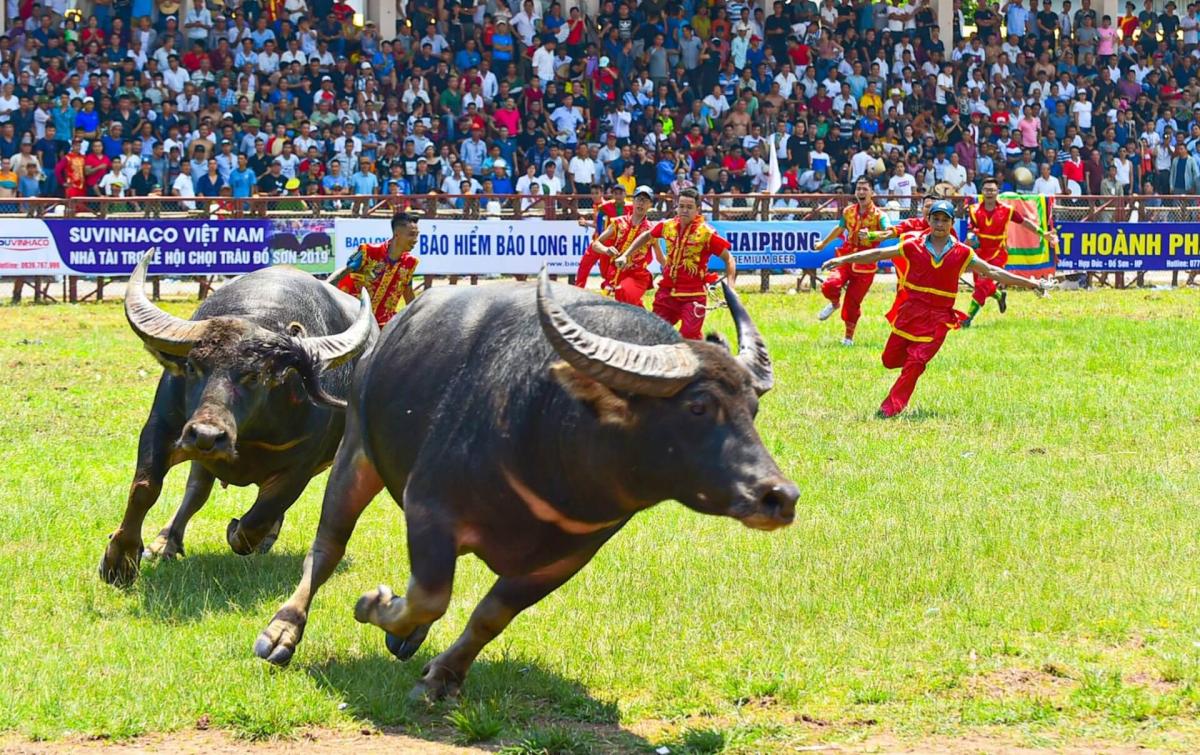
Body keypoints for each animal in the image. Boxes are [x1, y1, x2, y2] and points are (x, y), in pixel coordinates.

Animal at [101, 250, 376, 585]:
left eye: (254, 376)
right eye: (192, 366)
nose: (207, 435)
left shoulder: (302, 464)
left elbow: (261, 515)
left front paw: (240, 533)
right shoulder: (162, 427)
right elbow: (144, 488)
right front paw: (120, 560)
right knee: (196, 491)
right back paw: (165, 542)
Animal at [253, 267, 796, 696]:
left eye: (753, 408)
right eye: (698, 406)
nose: (780, 496)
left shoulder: (567, 557)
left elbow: (489, 616)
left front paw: (441, 676)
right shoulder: (429, 506)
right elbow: (429, 595)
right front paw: (374, 605)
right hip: (356, 454)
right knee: (327, 547)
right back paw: (282, 631)